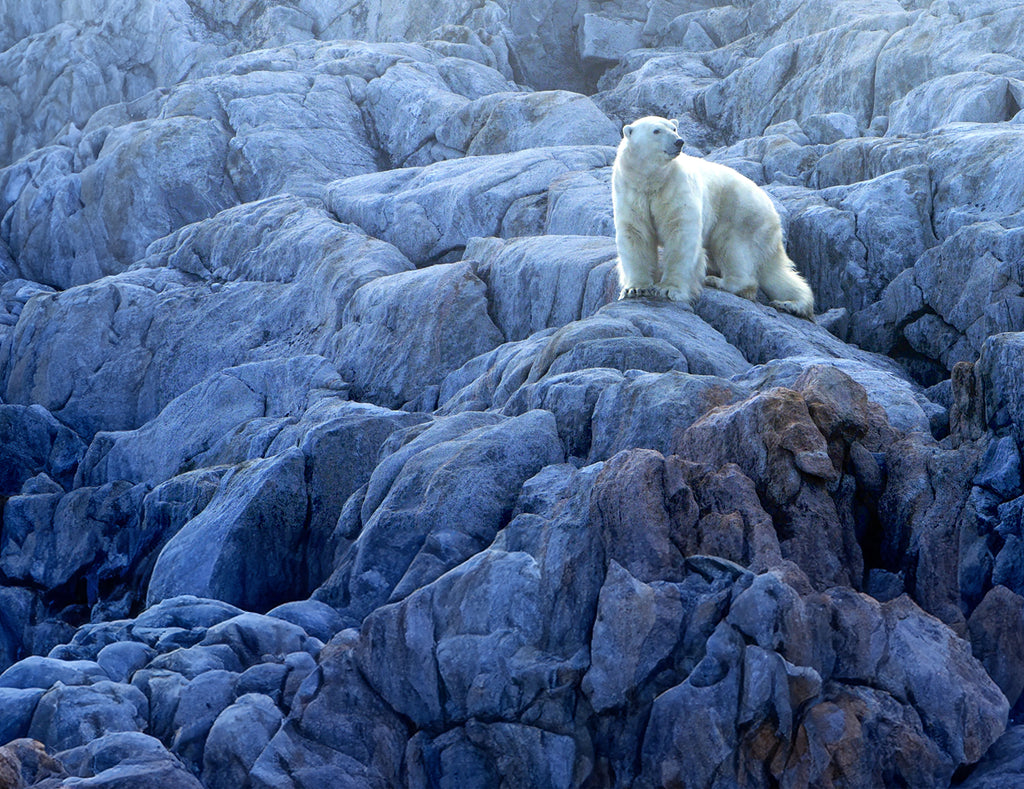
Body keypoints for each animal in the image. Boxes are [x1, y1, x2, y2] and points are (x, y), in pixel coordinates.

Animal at [606, 115, 815, 319]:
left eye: (673, 128)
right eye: (656, 130)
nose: (679, 141)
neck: (652, 180)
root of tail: (775, 216)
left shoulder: (676, 187)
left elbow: (680, 234)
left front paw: (668, 289)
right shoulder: (631, 190)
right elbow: (636, 234)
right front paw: (635, 288)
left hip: (739, 215)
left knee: (732, 249)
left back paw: (719, 281)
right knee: (774, 272)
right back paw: (792, 304)